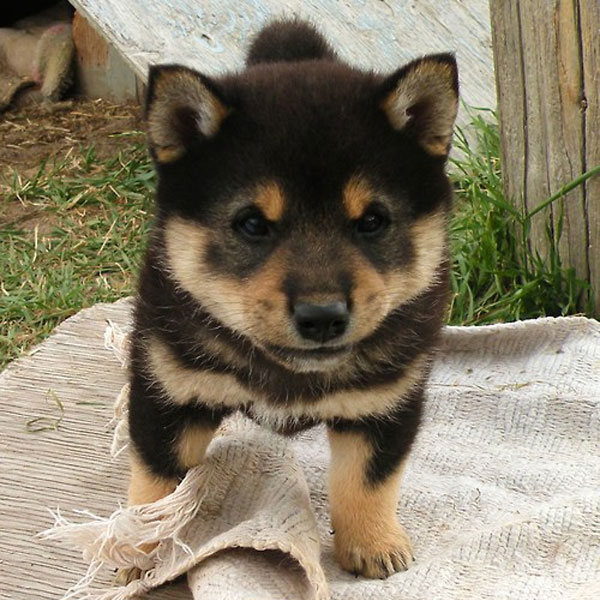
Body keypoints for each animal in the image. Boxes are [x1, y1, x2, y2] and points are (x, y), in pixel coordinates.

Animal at [124, 19, 458, 580]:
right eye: (252, 224)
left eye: (372, 221)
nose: (322, 318)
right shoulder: (167, 390)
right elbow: (157, 489)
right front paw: (135, 550)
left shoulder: (387, 402)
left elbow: (366, 482)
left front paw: (373, 544)